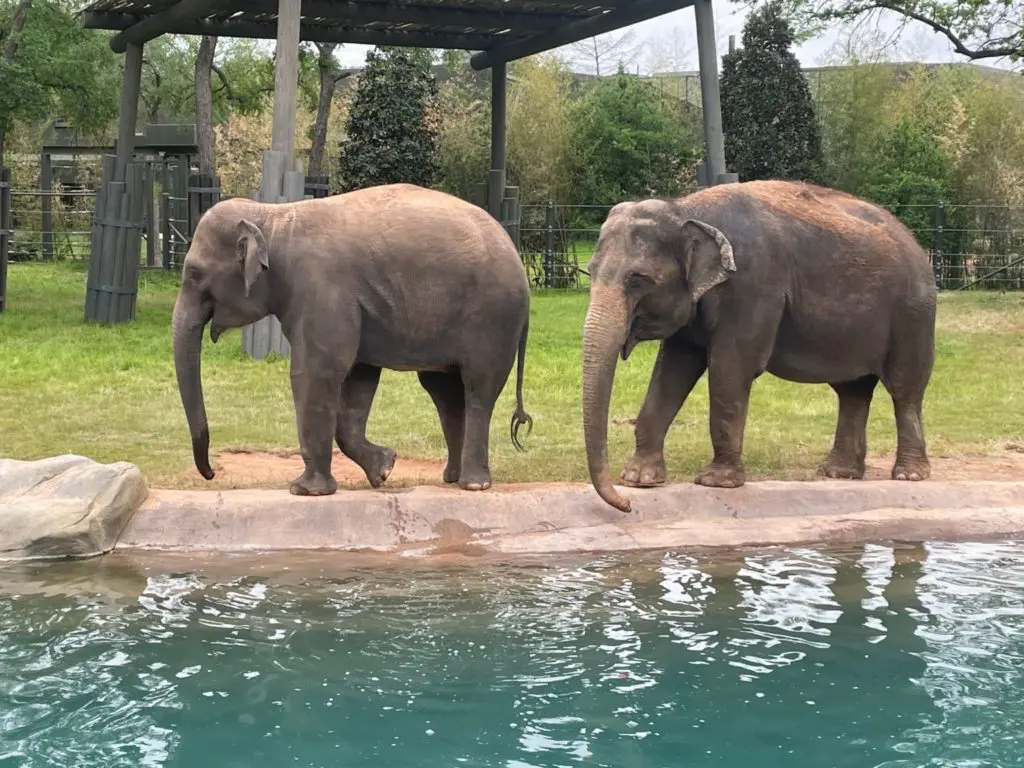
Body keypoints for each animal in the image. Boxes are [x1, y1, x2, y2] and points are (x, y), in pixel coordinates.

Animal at [172, 183, 533, 497]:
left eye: (194, 274)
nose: (211, 473)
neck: (273, 217)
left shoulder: (321, 290)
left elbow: (316, 372)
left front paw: (305, 491)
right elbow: (359, 378)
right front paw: (384, 469)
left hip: (493, 317)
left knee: (478, 388)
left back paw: (474, 484)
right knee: (444, 391)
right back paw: (451, 478)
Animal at [582, 180, 937, 513]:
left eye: (638, 280)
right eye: (590, 271)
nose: (626, 505)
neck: (686, 208)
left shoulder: (753, 285)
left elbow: (729, 368)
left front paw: (717, 481)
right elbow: (671, 372)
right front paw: (639, 479)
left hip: (912, 316)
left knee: (904, 390)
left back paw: (908, 475)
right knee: (853, 391)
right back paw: (839, 473)